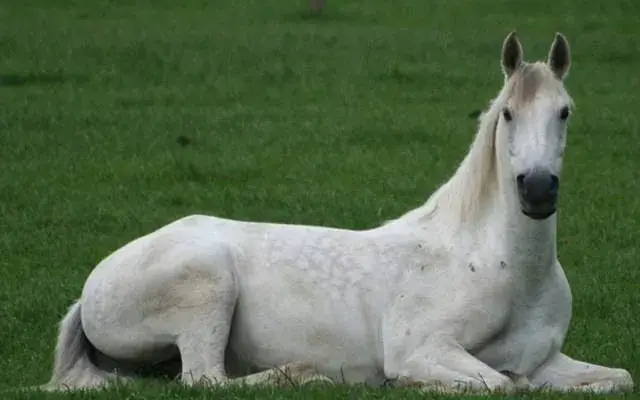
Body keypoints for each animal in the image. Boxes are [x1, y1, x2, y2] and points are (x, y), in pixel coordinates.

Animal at [35, 32, 633, 393]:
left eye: (565, 112)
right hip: (207, 285)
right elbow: (500, 382)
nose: (538, 190)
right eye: (508, 114)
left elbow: (618, 376)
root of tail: (92, 286)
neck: (501, 266)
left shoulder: (548, 360)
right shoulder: (422, 348)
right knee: (205, 379)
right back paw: (304, 375)